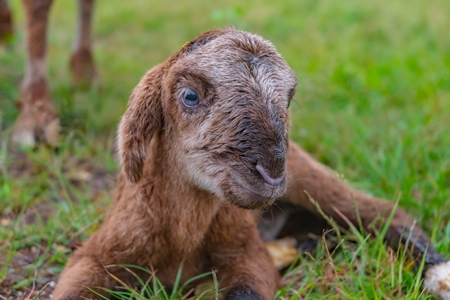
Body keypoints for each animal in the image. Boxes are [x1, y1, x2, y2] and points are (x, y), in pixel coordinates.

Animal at [53, 28, 450, 300]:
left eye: (288, 99)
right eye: (190, 96)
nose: (271, 173)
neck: (182, 238)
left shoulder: (246, 251)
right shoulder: (96, 255)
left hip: (313, 181)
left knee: (380, 212)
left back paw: (436, 272)